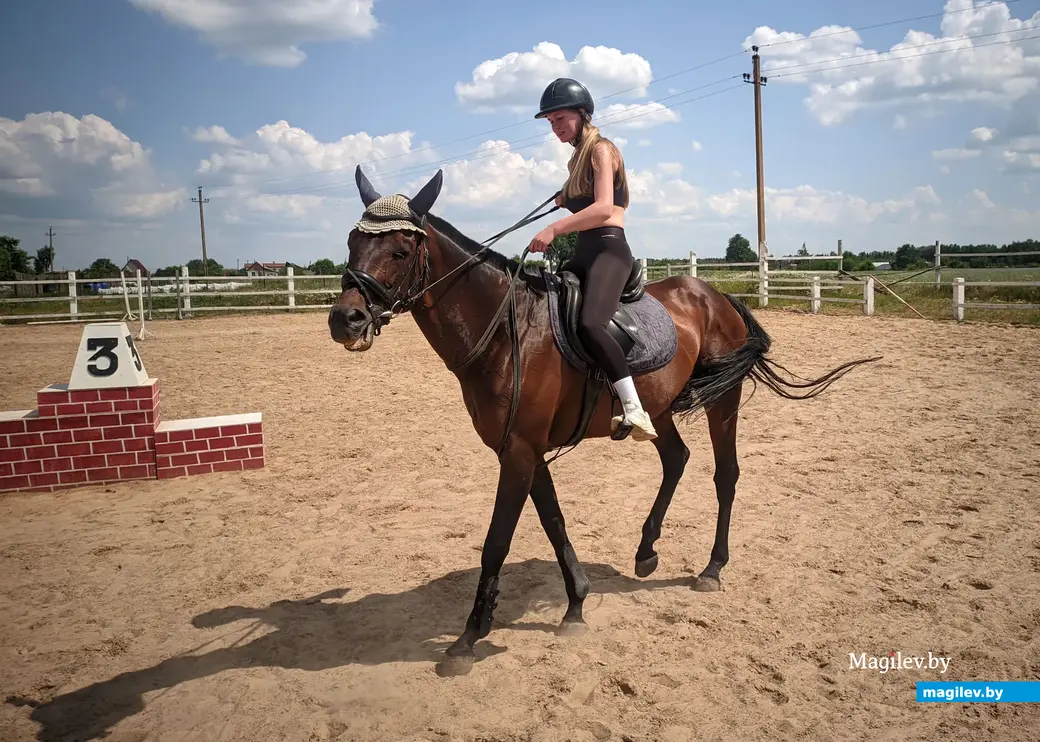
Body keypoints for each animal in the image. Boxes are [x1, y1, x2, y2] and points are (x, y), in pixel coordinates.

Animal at [326, 167, 877, 678]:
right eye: (352, 242)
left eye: (401, 250)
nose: (344, 320)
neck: (507, 330)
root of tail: (715, 294)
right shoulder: (523, 449)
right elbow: (554, 522)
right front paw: (575, 604)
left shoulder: (520, 451)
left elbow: (497, 541)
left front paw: (468, 637)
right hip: (660, 408)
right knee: (677, 458)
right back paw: (646, 550)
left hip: (724, 402)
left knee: (726, 475)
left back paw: (712, 567)